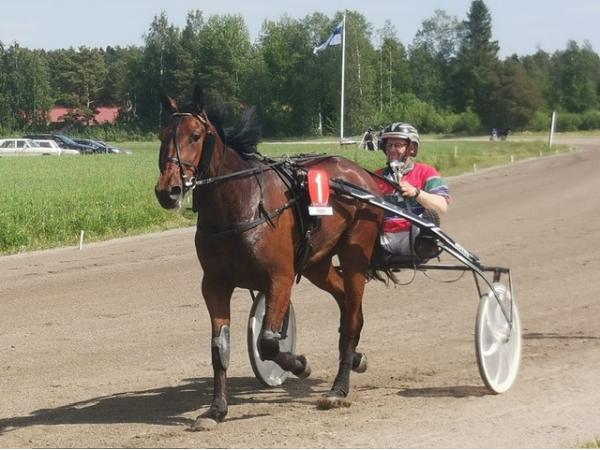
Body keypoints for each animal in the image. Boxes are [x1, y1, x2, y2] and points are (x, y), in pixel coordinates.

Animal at [155, 84, 385, 431]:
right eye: (163, 135)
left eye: (195, 136)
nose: (167, 191)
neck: (241, 207)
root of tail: (361, 173)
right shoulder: (214, 284)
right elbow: (219, 348)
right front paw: (216, 409)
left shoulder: (280, 278)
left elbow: (269, 342)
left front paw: (300, 364)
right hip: (317, 263)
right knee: (345, 303)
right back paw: (355, 357)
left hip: (355, 253)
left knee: (352, 316)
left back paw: (338, 388)